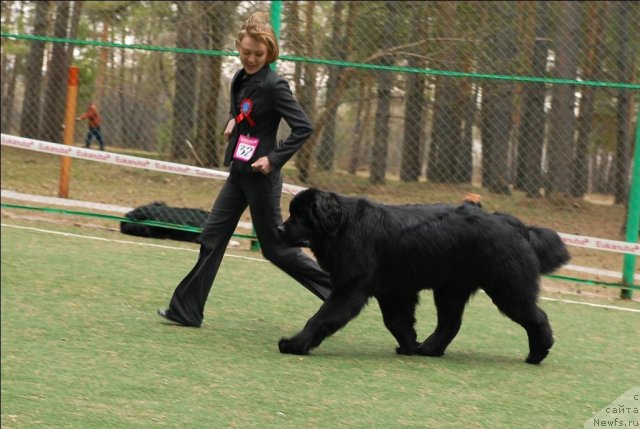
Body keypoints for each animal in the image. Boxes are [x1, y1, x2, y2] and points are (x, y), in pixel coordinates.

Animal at [276, 189, 568, 362]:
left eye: (300, 215)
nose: (279, 229)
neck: (342, 225)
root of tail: (517, 225)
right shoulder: (393, 292)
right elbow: (397, 322)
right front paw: (409, 346)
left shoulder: (352, 286)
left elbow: (322, 317)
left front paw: (294, 343)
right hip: (451, 289)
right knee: (450, 323)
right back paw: (429, 349)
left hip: (506, 288)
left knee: (537, 317)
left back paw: (538, 353)